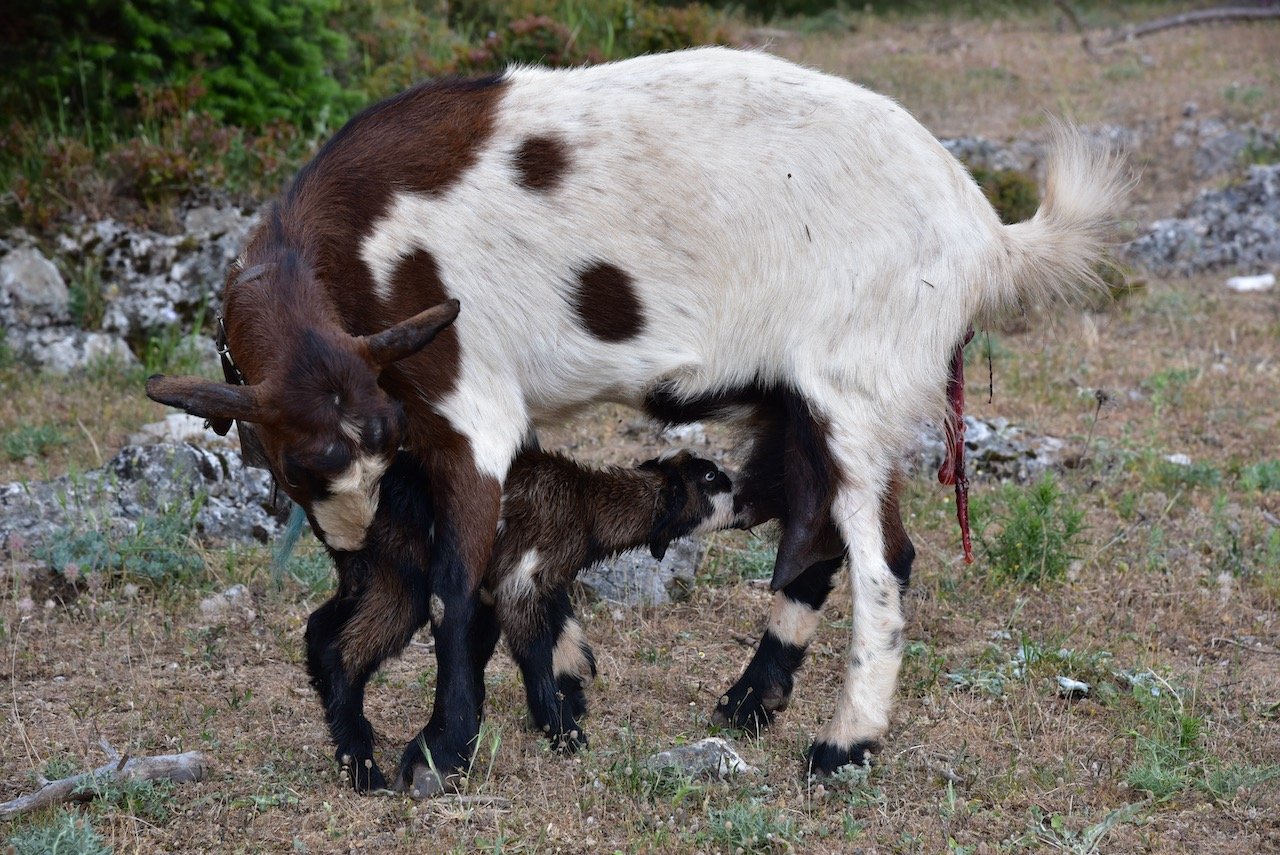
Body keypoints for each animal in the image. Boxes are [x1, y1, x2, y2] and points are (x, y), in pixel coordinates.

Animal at [152, 48, 1131, 793]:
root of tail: (987, 234)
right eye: (290, 466)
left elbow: (456, 589)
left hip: (858, 386)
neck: (348, 247)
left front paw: (440, 750)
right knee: (811, 529)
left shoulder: (468, 410)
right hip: (797, 398)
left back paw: (843, 744)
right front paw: (559, 687)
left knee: (882, 553)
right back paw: (752, 700)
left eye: (375, 440)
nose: (355, 554)